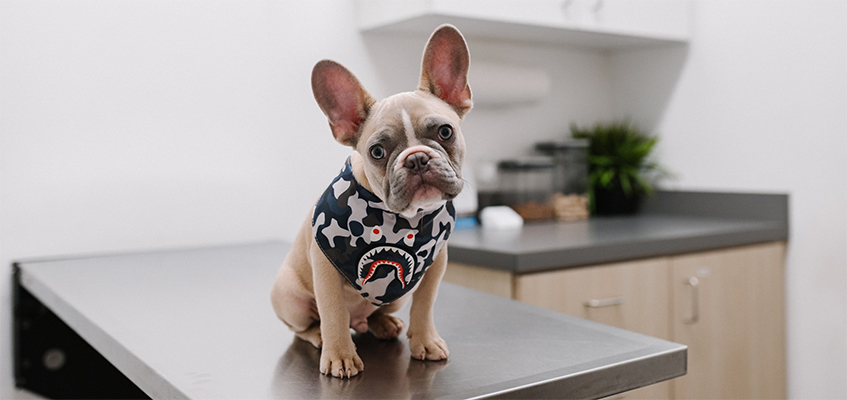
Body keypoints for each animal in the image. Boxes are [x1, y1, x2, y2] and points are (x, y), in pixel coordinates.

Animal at [272, 25, 470, 378]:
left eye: (445, 132)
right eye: (377, 152)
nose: (416, 159)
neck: (404, 221)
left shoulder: (435, 266)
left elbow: (425, 305)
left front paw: (425, 341)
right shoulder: (325, 270)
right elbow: (333, 312)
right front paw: (340, 356)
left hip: (395, 297)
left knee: (376, 313)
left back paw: (384, 323)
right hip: (290, 297)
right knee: (304, 326)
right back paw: (319, 336)